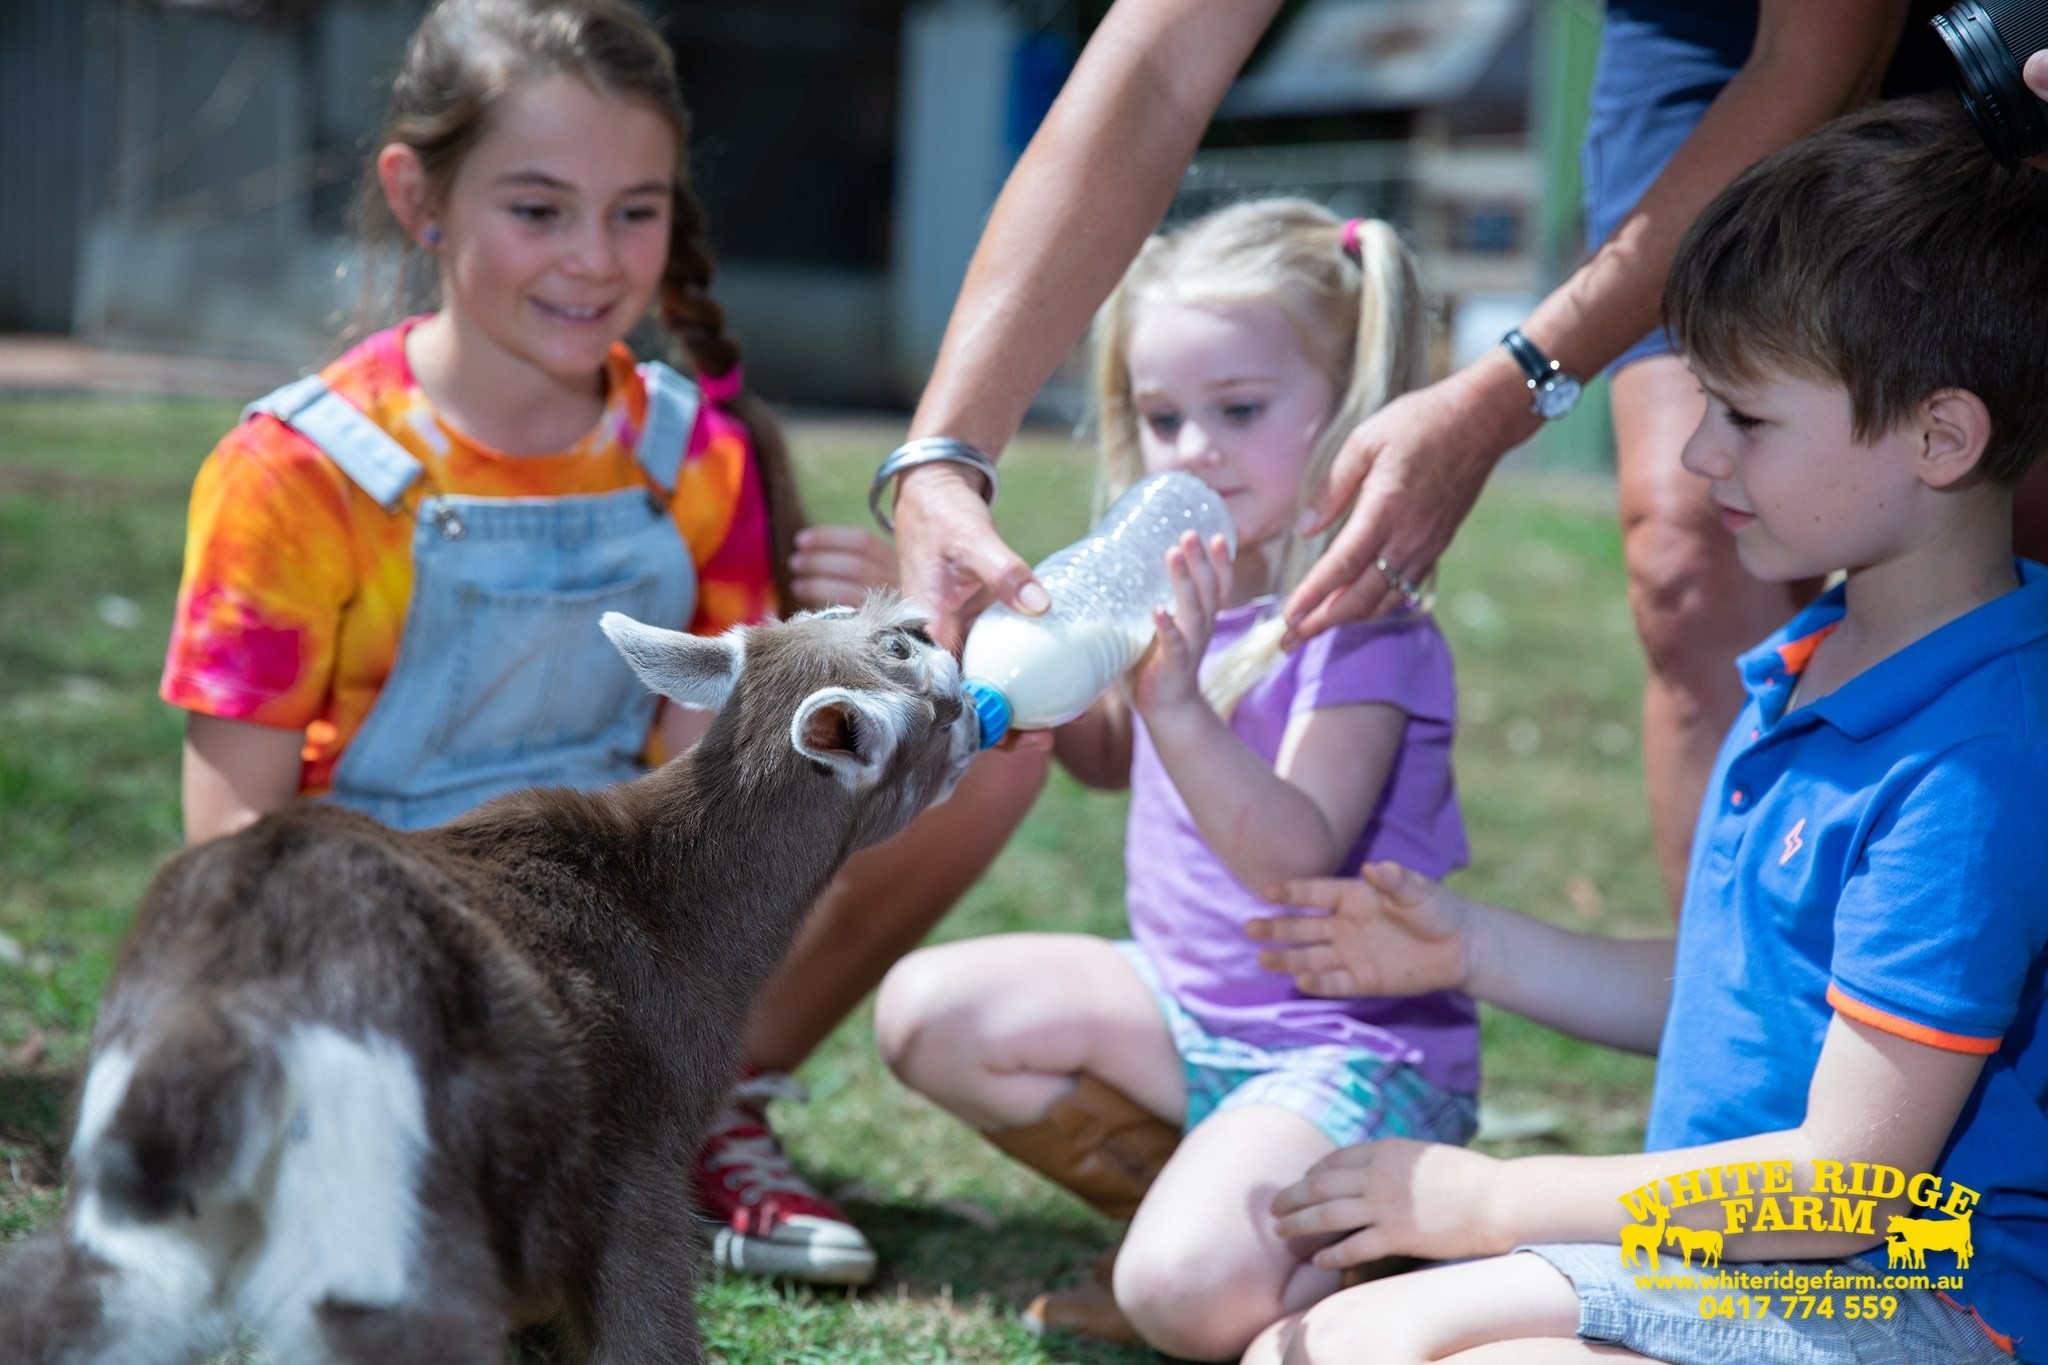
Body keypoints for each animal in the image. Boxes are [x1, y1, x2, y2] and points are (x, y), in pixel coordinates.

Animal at [0, 597, 978, 1365]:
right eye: (935, 701)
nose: (973, 693)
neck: (671, 900)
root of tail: (233, 998)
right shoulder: (644, 1159)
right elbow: (646, 1327)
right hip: (384, 1224)